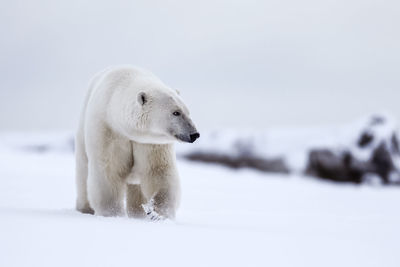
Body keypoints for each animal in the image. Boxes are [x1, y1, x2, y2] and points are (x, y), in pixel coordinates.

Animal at [74, 66, 199, 221]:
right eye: (176, 112)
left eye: (188, 111)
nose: (194, 134)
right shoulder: (108, 130)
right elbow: (109, 170)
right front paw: (113, 214)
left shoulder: (150, 142)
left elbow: (158, 171)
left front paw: (157, 214)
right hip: (82, 136)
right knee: (83, 172)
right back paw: (85, 209)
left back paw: (138, 214)